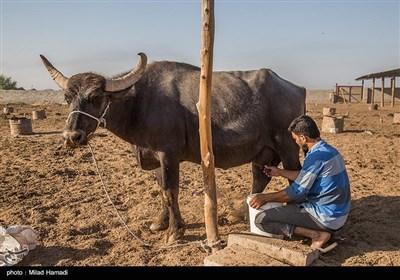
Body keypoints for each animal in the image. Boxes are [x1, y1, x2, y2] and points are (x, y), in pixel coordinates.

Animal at [40, 52, 306, 243]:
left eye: (96, 98)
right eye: (67, 98)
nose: (72, 136)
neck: (140, 102)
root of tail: (298, 88)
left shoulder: (168, 154)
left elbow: (170, 190)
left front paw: (175, 230)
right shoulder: (155, 156)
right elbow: (160, 190)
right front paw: (160, 222)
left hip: (288, 147)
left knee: (294, 178)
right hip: (263, 152)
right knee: (259, 178)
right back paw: (241, 211)